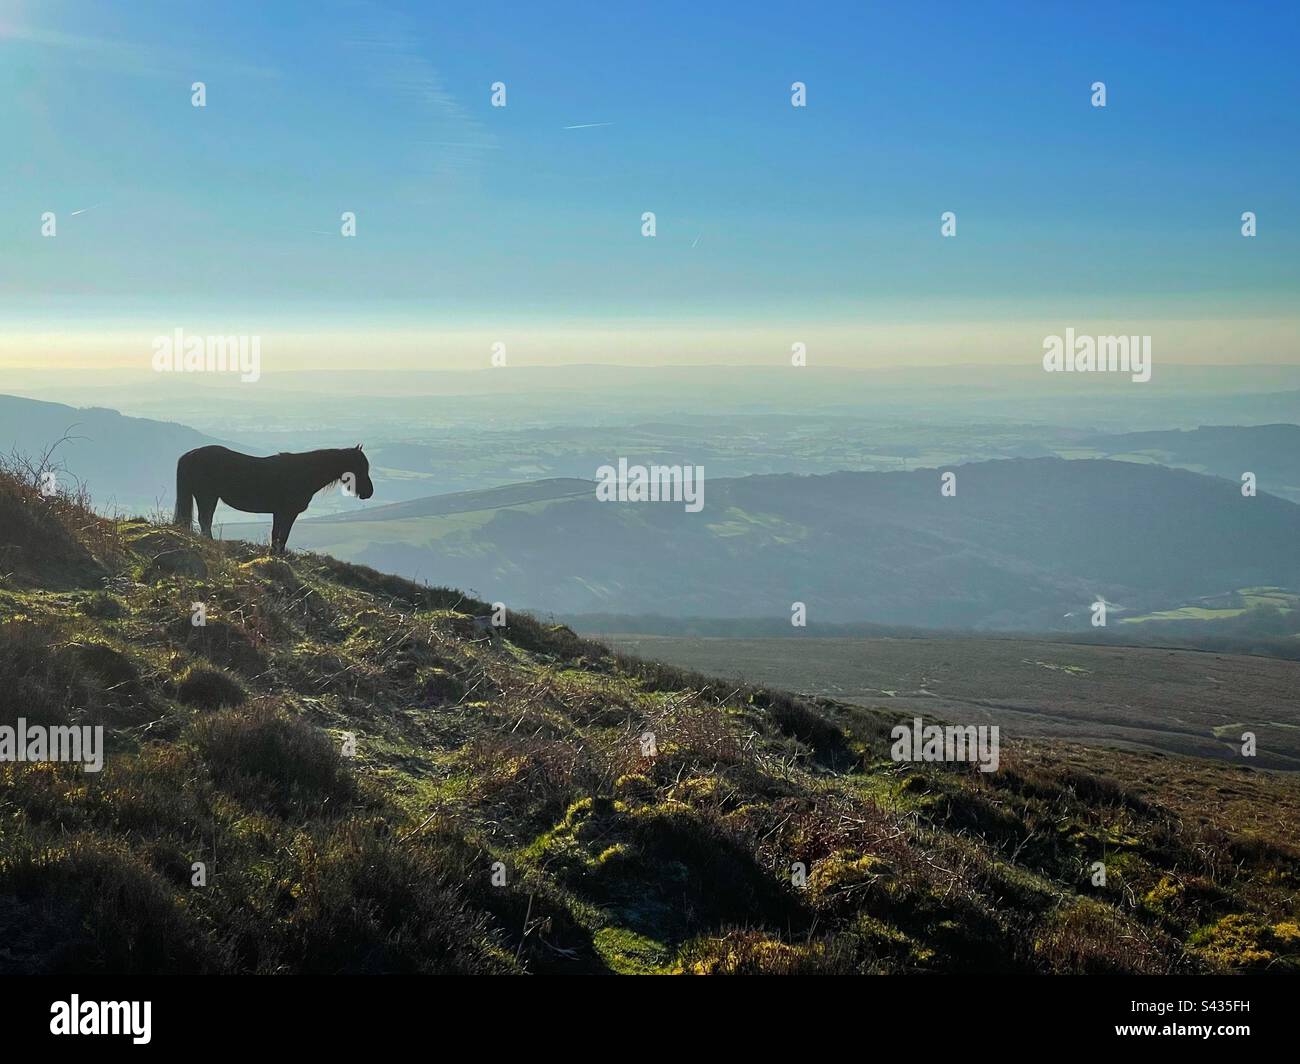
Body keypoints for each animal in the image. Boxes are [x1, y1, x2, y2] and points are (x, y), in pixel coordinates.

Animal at [174, 444, 374, 555]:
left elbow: (276, 535)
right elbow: (282, 536)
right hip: (207, 496)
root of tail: (190, 455)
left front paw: (273, 554)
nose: (369, 492)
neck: (305, 473)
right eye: (360, 468)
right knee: (205, 520)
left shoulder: (279, 513)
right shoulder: (288, 513)